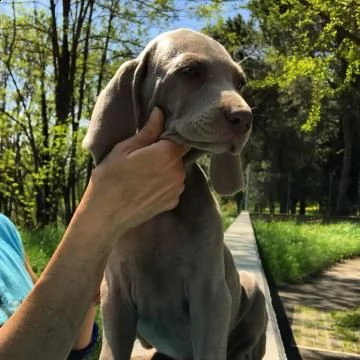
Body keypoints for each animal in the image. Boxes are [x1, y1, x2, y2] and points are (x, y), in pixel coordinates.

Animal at [83, 28, 268, 360]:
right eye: (190, 71)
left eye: (240, 83)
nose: (245, 118)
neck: (161, 214)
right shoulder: (114, 294)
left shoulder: (211, 295)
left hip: (252, 290)